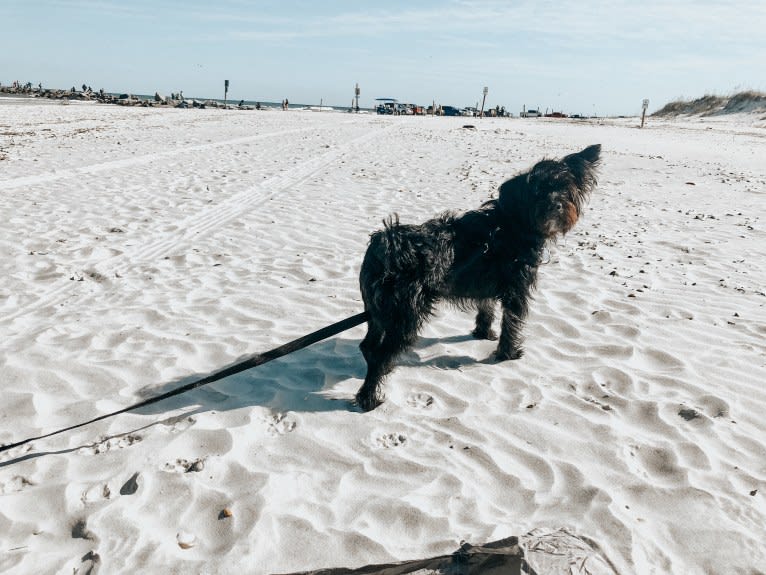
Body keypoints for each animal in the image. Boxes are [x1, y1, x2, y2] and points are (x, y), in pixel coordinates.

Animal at [356, 146, 604, 412]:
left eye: (565, 189)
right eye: (538, 191)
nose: (556, 205)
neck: (512, 224)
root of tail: (384, 245)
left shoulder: (487, 286)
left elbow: (486, 308)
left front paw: (483, 333)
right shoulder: (517, 290)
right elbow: (512, 323)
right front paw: (508, 353)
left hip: (379, 311)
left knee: (368, 346)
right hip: (405, 314)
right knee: (379, 353)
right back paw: (369, 398)